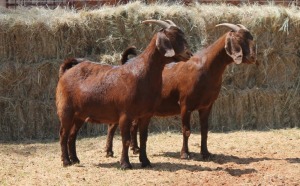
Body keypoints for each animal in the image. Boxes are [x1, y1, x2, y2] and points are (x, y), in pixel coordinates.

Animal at [55, 19, 192, 169]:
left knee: (72, 135)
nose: (189, 54)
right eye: (172, 37)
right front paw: (125, 163)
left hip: (80, 115)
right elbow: (125, 140)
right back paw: (66, 161)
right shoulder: (125, 114)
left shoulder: (146, 114)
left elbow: (143, 139)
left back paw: (75, 159)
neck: (142, 74)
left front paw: (145, 161)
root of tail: (65, 73)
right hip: (66, 110)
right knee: (63, 134)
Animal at [105, 22, 255, 160]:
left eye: (250, 38)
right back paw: (109, 151)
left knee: (133, 125)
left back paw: (135, 149)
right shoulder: (185, 104)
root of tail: (125, 64)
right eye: (239, 38)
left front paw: (205, 153)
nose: (253, 57)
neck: (206, 67)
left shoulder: (207, 105)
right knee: (112, 125)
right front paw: (185, 153)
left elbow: (204, 130)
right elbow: (186, 130)